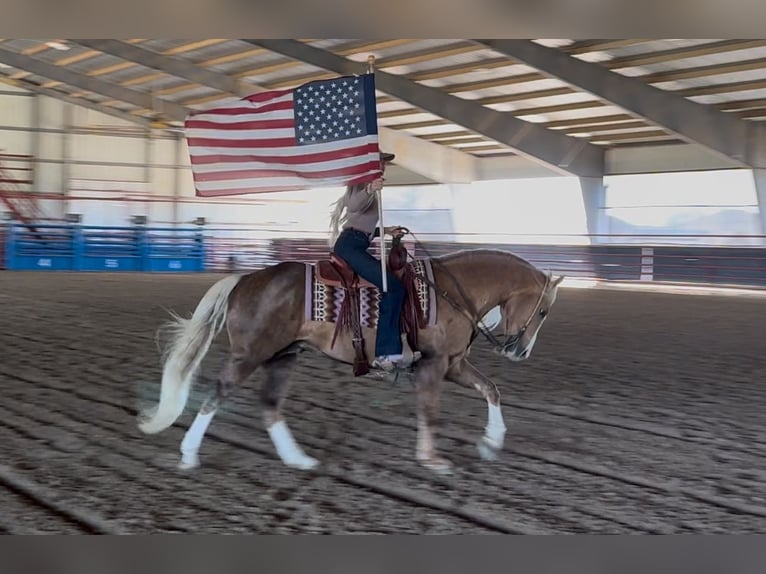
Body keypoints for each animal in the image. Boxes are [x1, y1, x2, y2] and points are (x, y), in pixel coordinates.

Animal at [138, 245, 568, 474]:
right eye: (544, 311)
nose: (520, 351)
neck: (449, 292)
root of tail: (244, 279)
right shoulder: (432, 365)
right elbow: (430, 412)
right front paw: (432, 459)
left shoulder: (453, 364)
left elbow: (491, 390)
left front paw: (491, 443)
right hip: (251, 354)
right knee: (217, 394)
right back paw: (189, 454)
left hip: (282, 356)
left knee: (269, 405)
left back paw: (299, 459)